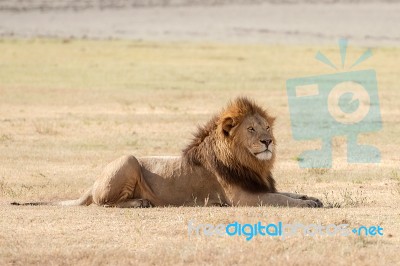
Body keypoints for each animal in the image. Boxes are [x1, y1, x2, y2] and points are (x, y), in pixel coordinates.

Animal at [12, 97, 322, 208]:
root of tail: (91, 185)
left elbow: (290, 193)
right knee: (102, 203)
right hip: (127, 160)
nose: (268, 141)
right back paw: (139, 203)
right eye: (252, 130)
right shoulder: (243, 198)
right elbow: (282, 200)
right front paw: (308, 205)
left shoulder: (260, 186)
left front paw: (313, 198)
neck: (251, 163)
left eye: (267, 127)